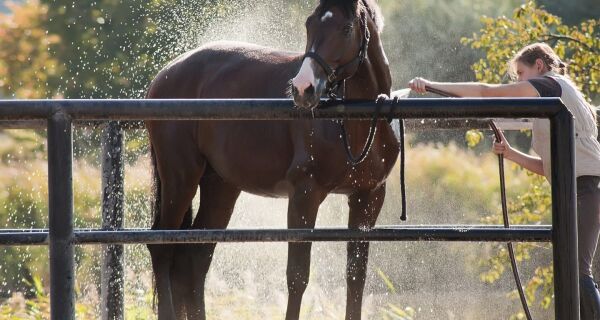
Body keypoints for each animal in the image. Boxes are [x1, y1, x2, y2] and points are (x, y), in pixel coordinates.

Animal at [145, 1, 398, 318]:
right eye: (309, 23)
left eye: (346, 28)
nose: (303, 88)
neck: (355, 122)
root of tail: (166, 73)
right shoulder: (305, 195)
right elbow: (297, 276)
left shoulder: (368, 197)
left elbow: (356, 276)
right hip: (180, 179)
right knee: (162, 247)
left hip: (220, 187)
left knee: (194, 259)